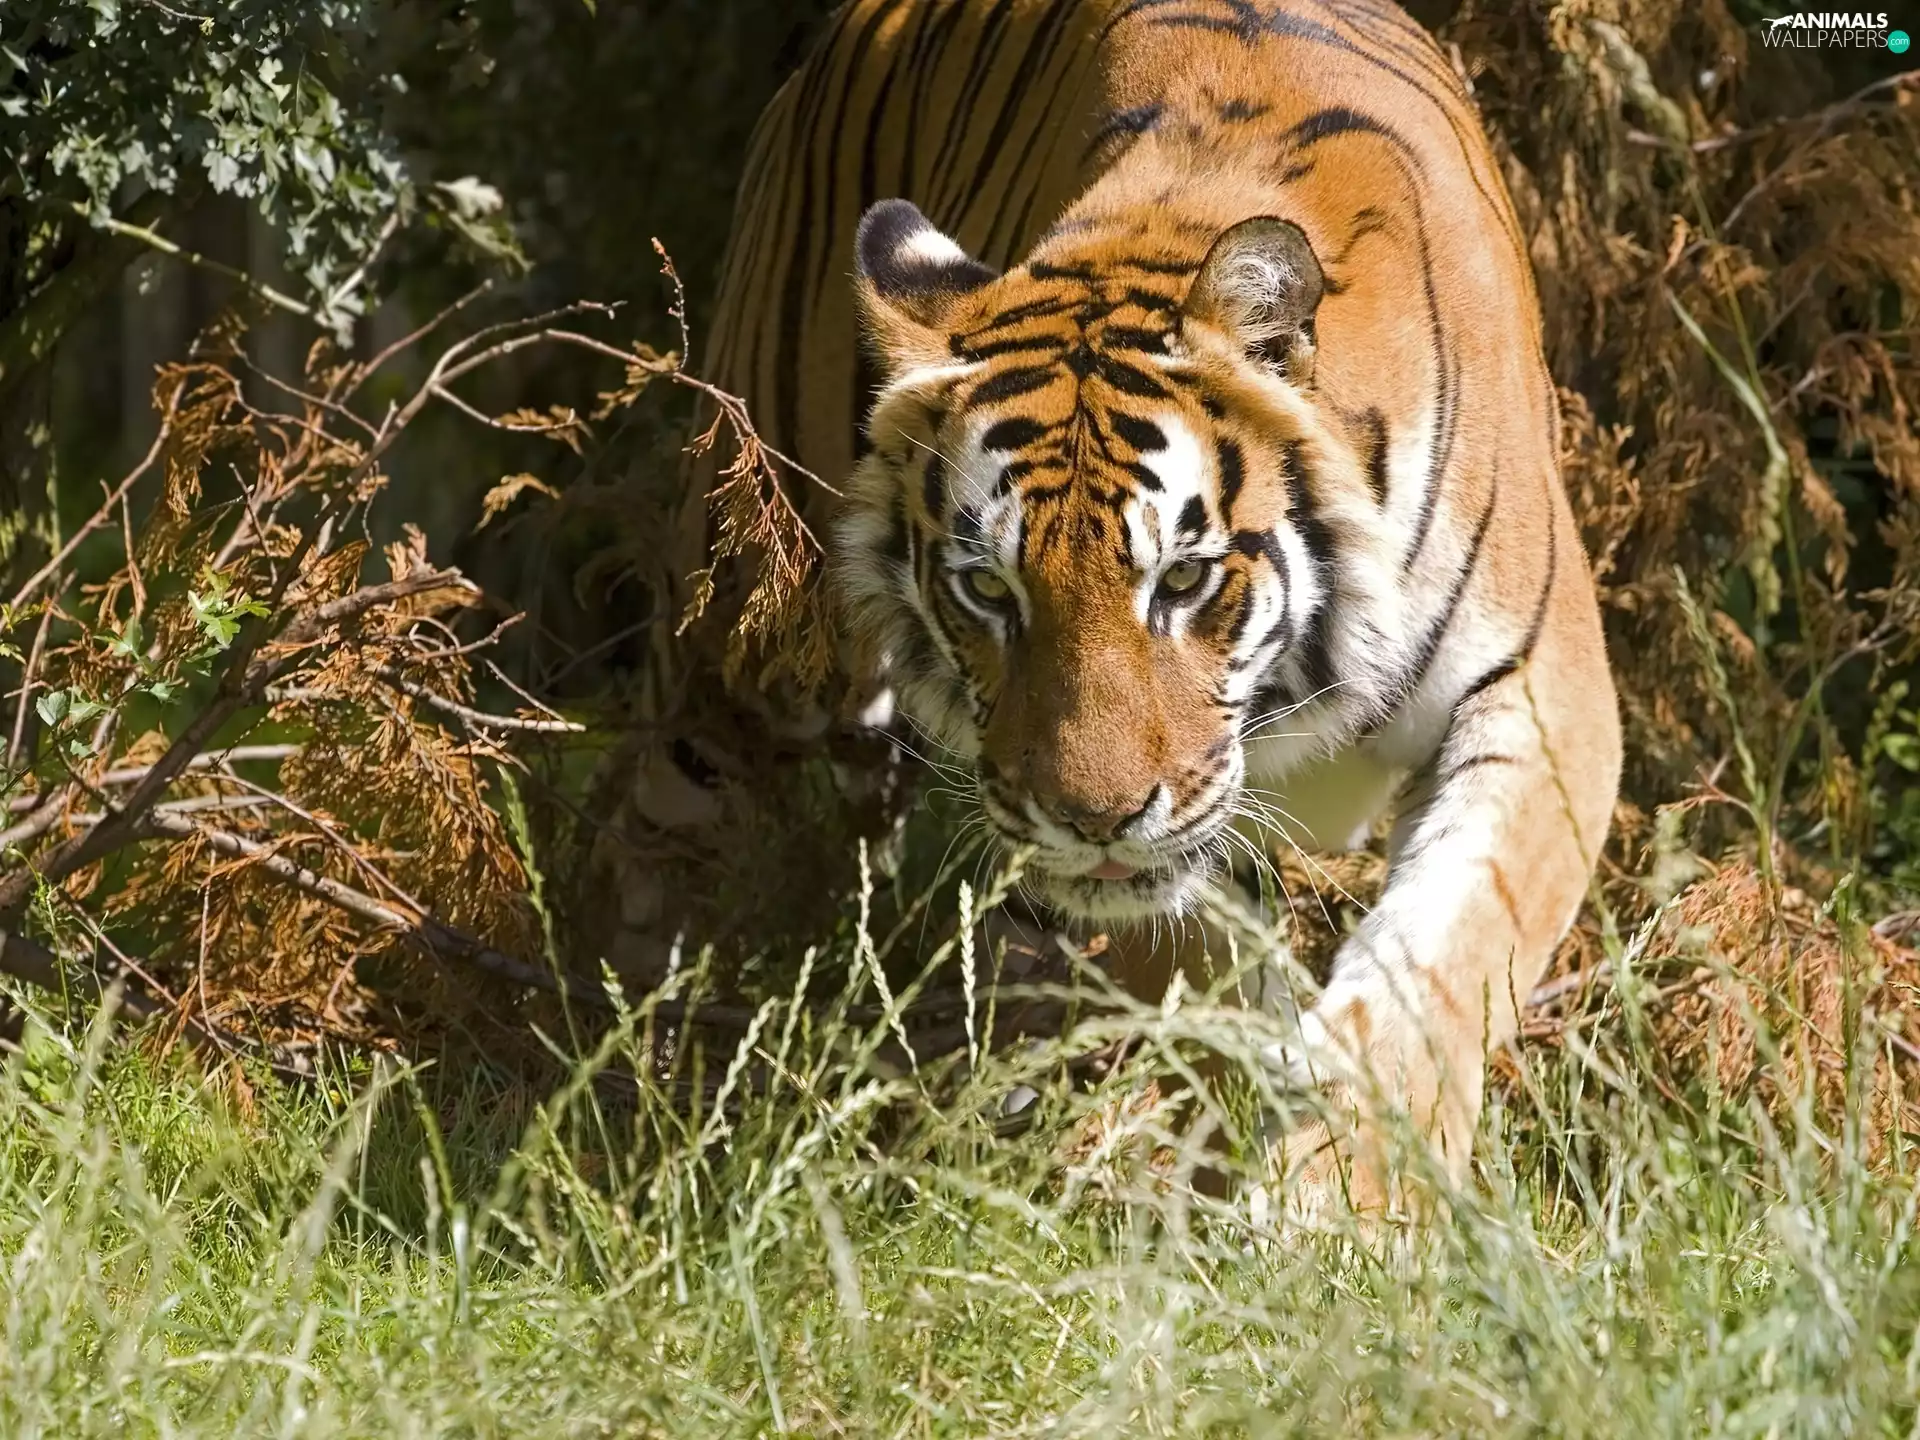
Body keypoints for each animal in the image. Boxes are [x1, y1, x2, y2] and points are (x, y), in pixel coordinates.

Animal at [690, 0, 1622, 1204]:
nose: (1090, 821)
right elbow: (1206, 966)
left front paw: (1344, 1199)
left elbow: (1446, 955)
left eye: (1181, 579)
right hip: (760, 616)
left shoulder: (1540, 692)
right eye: (987, 588)